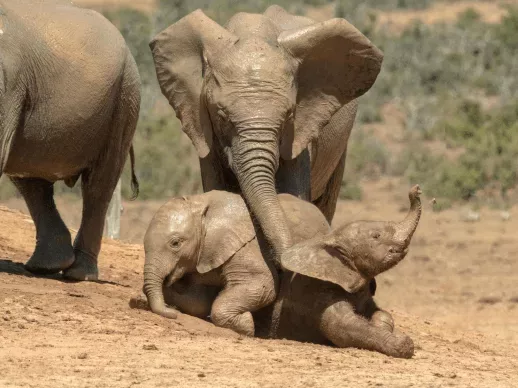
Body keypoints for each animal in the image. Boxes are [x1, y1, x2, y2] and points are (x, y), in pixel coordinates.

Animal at [0, 0, 140, 278]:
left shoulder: (7, 83)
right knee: (32, 181)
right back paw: (46, 266)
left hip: (124, 101)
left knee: (98, 185)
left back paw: (78, 274)